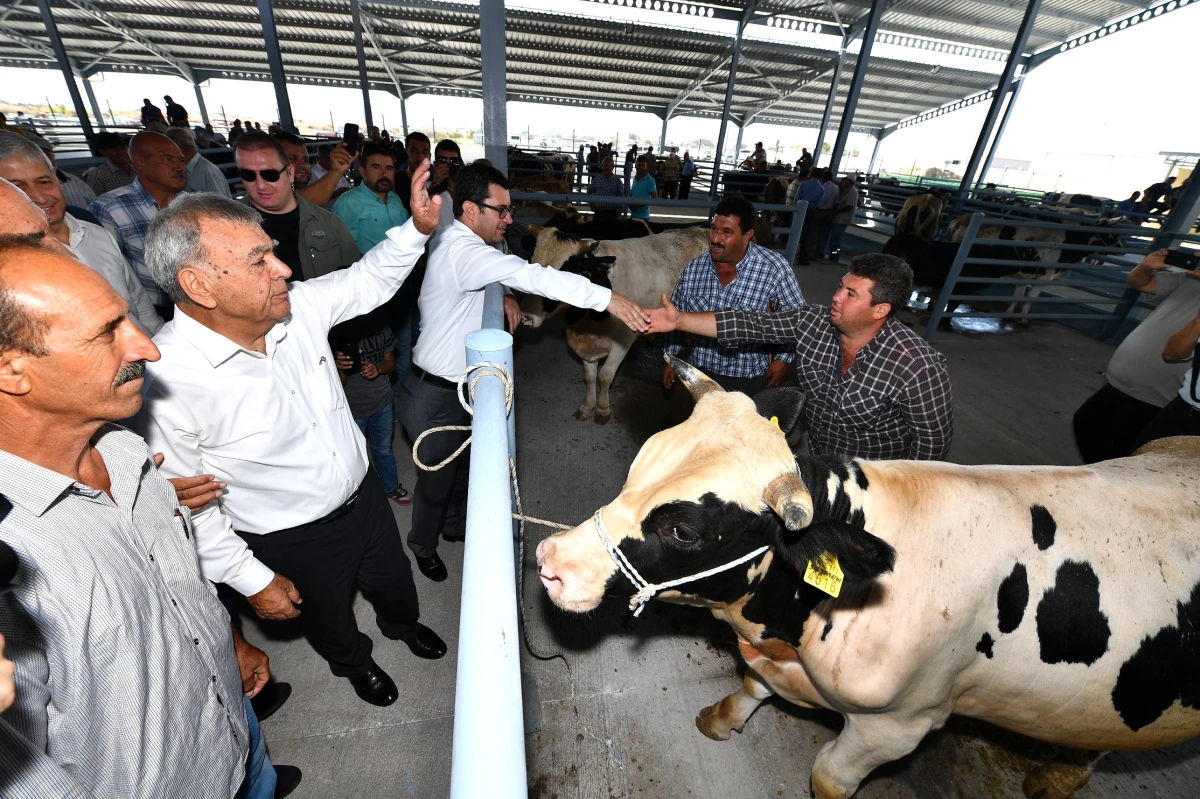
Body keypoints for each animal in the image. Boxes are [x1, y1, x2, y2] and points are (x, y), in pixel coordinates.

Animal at [540, 357, 1200, 791]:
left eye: (683, 532)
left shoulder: (898, 726)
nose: (551, 562)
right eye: (640, 463)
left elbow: (829, 778)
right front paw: (721, 720)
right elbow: (751, 687)